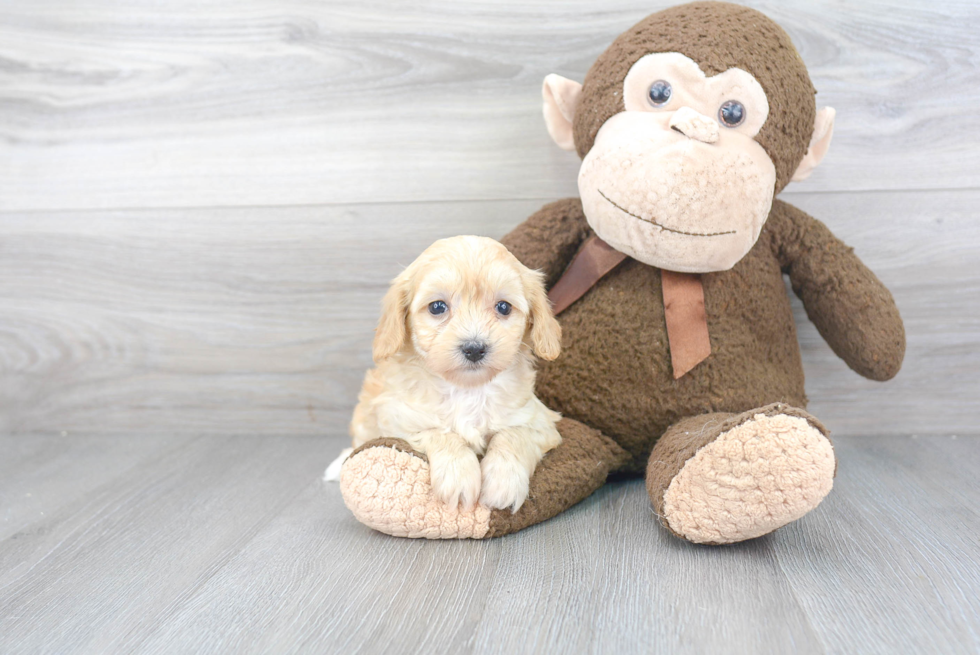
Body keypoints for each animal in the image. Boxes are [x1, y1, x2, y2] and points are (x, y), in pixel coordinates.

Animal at [346, 236, 564, 512]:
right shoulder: (397, 421)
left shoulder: (539, 421)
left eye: (504, 307)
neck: (466, 388)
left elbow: (513, 435)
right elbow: (442, 434)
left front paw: (503, 481)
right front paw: (458, 477)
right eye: (438, 307)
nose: (474, 348)